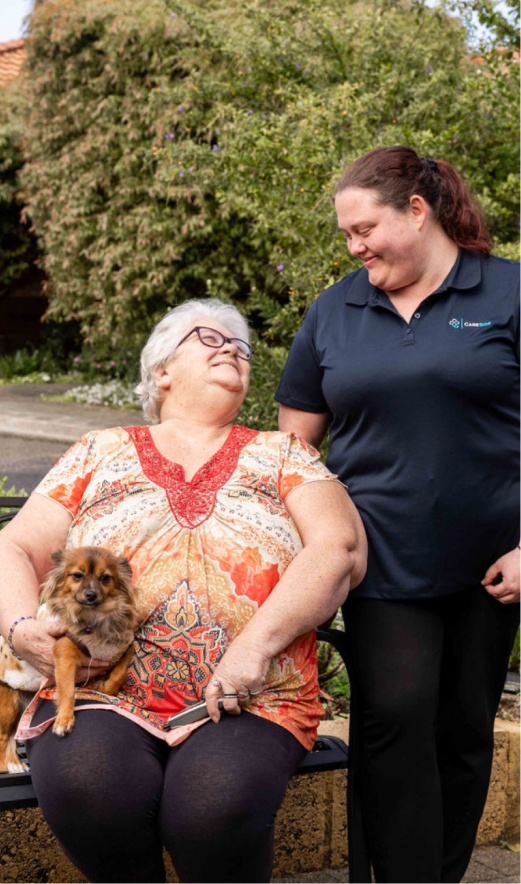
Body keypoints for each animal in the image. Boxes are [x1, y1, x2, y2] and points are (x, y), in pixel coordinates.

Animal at [0, 548, 138, 772]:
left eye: (105, 578)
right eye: (77, 575)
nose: (90, 594)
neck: (95, 619)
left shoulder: (125, 647)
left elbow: (118, 675)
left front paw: (102, 686)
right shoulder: (63, 654)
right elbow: (67, 691)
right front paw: (64, 720)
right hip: (8, 703)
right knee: (4, 738)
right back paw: (13, 765)